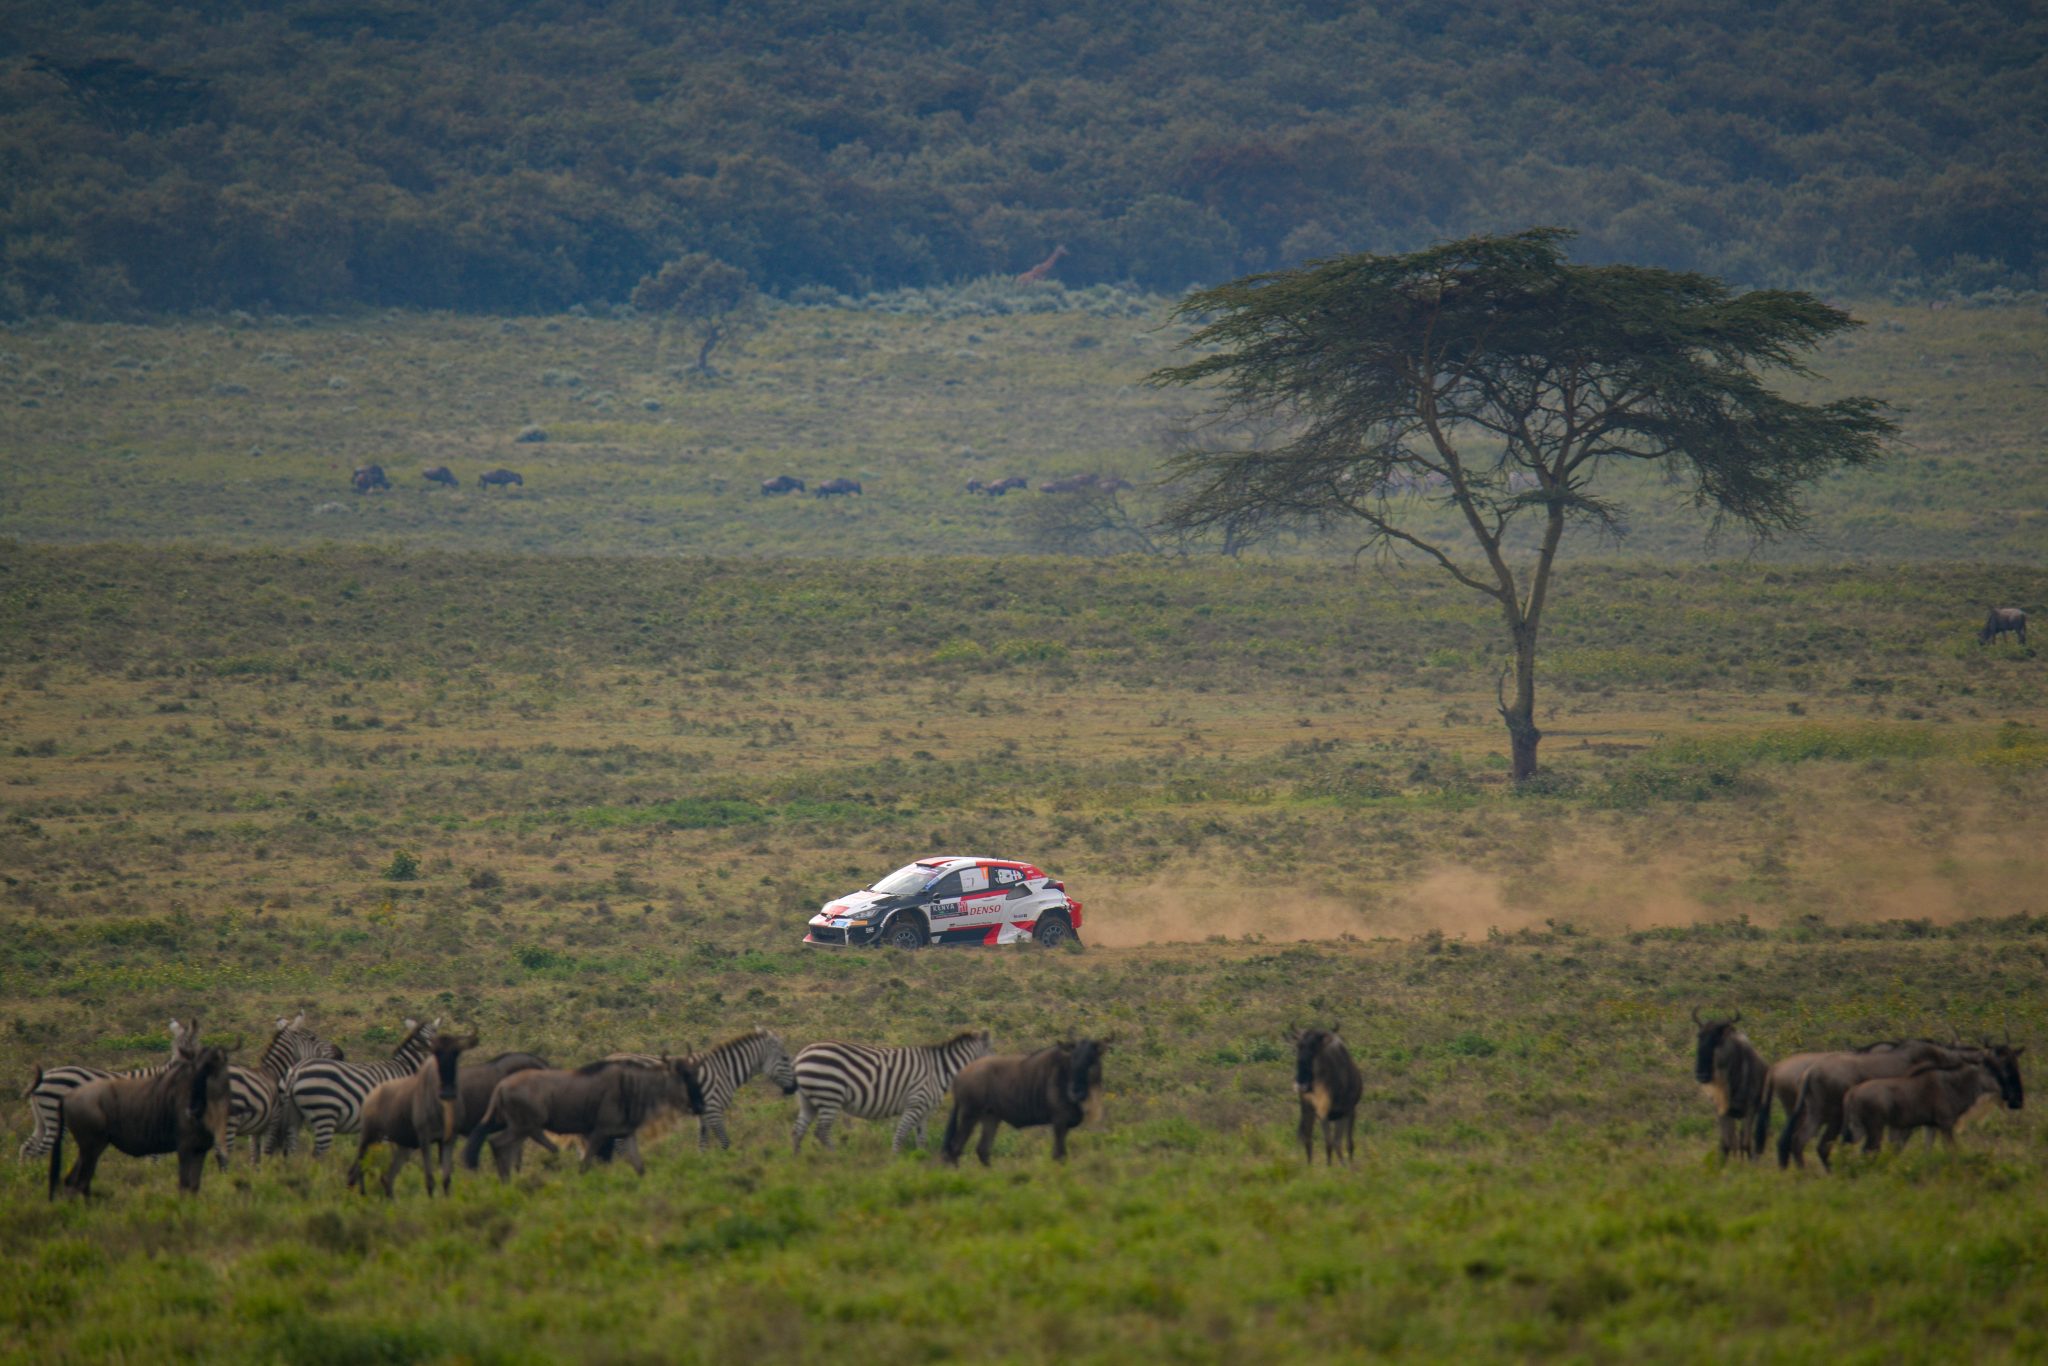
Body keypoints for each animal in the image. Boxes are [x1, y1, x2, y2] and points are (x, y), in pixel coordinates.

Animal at [21, 1019, 195, 1161]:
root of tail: (44, 1077)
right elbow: (155, 1154)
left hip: (42, 1116)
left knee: (27, 1147)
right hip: (55, 1113)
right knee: (39, 1149)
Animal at [220, 1015, 344, 1167]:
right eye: (312, 1037)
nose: (340, 1053)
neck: (273, 1073)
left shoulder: (256, 1129)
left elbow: (255, 1158)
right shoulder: (273, 1122)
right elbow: (266, 1154)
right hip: (229, 1121)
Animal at [272, 1017, 437, 1157]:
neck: (405, 1069)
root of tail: (296, 1071)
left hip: (293, 1115)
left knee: (291, 1151)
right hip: (324, 1112)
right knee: (318, 1154)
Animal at [605, 1028, 799, 1151]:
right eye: (785, 1058)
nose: (794, 1087)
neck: (724, 1070)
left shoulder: (704, 1113)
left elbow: (702, 1145)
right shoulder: (714, 1109)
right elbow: (725, 1142)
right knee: (620, 1147)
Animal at [790, 1030, 991, 1154]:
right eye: (993, 1054)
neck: (939, 1070)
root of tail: (801, 1055)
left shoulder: (924, 1110)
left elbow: (922, 1139)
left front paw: (921, 1160)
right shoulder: (915, 1103)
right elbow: (901, 1134)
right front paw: (894, 1161)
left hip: (808, 1100)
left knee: (798, 1131)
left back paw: (797, 1161)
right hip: (829, 1095)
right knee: (822, 1131)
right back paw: (836, 1157)